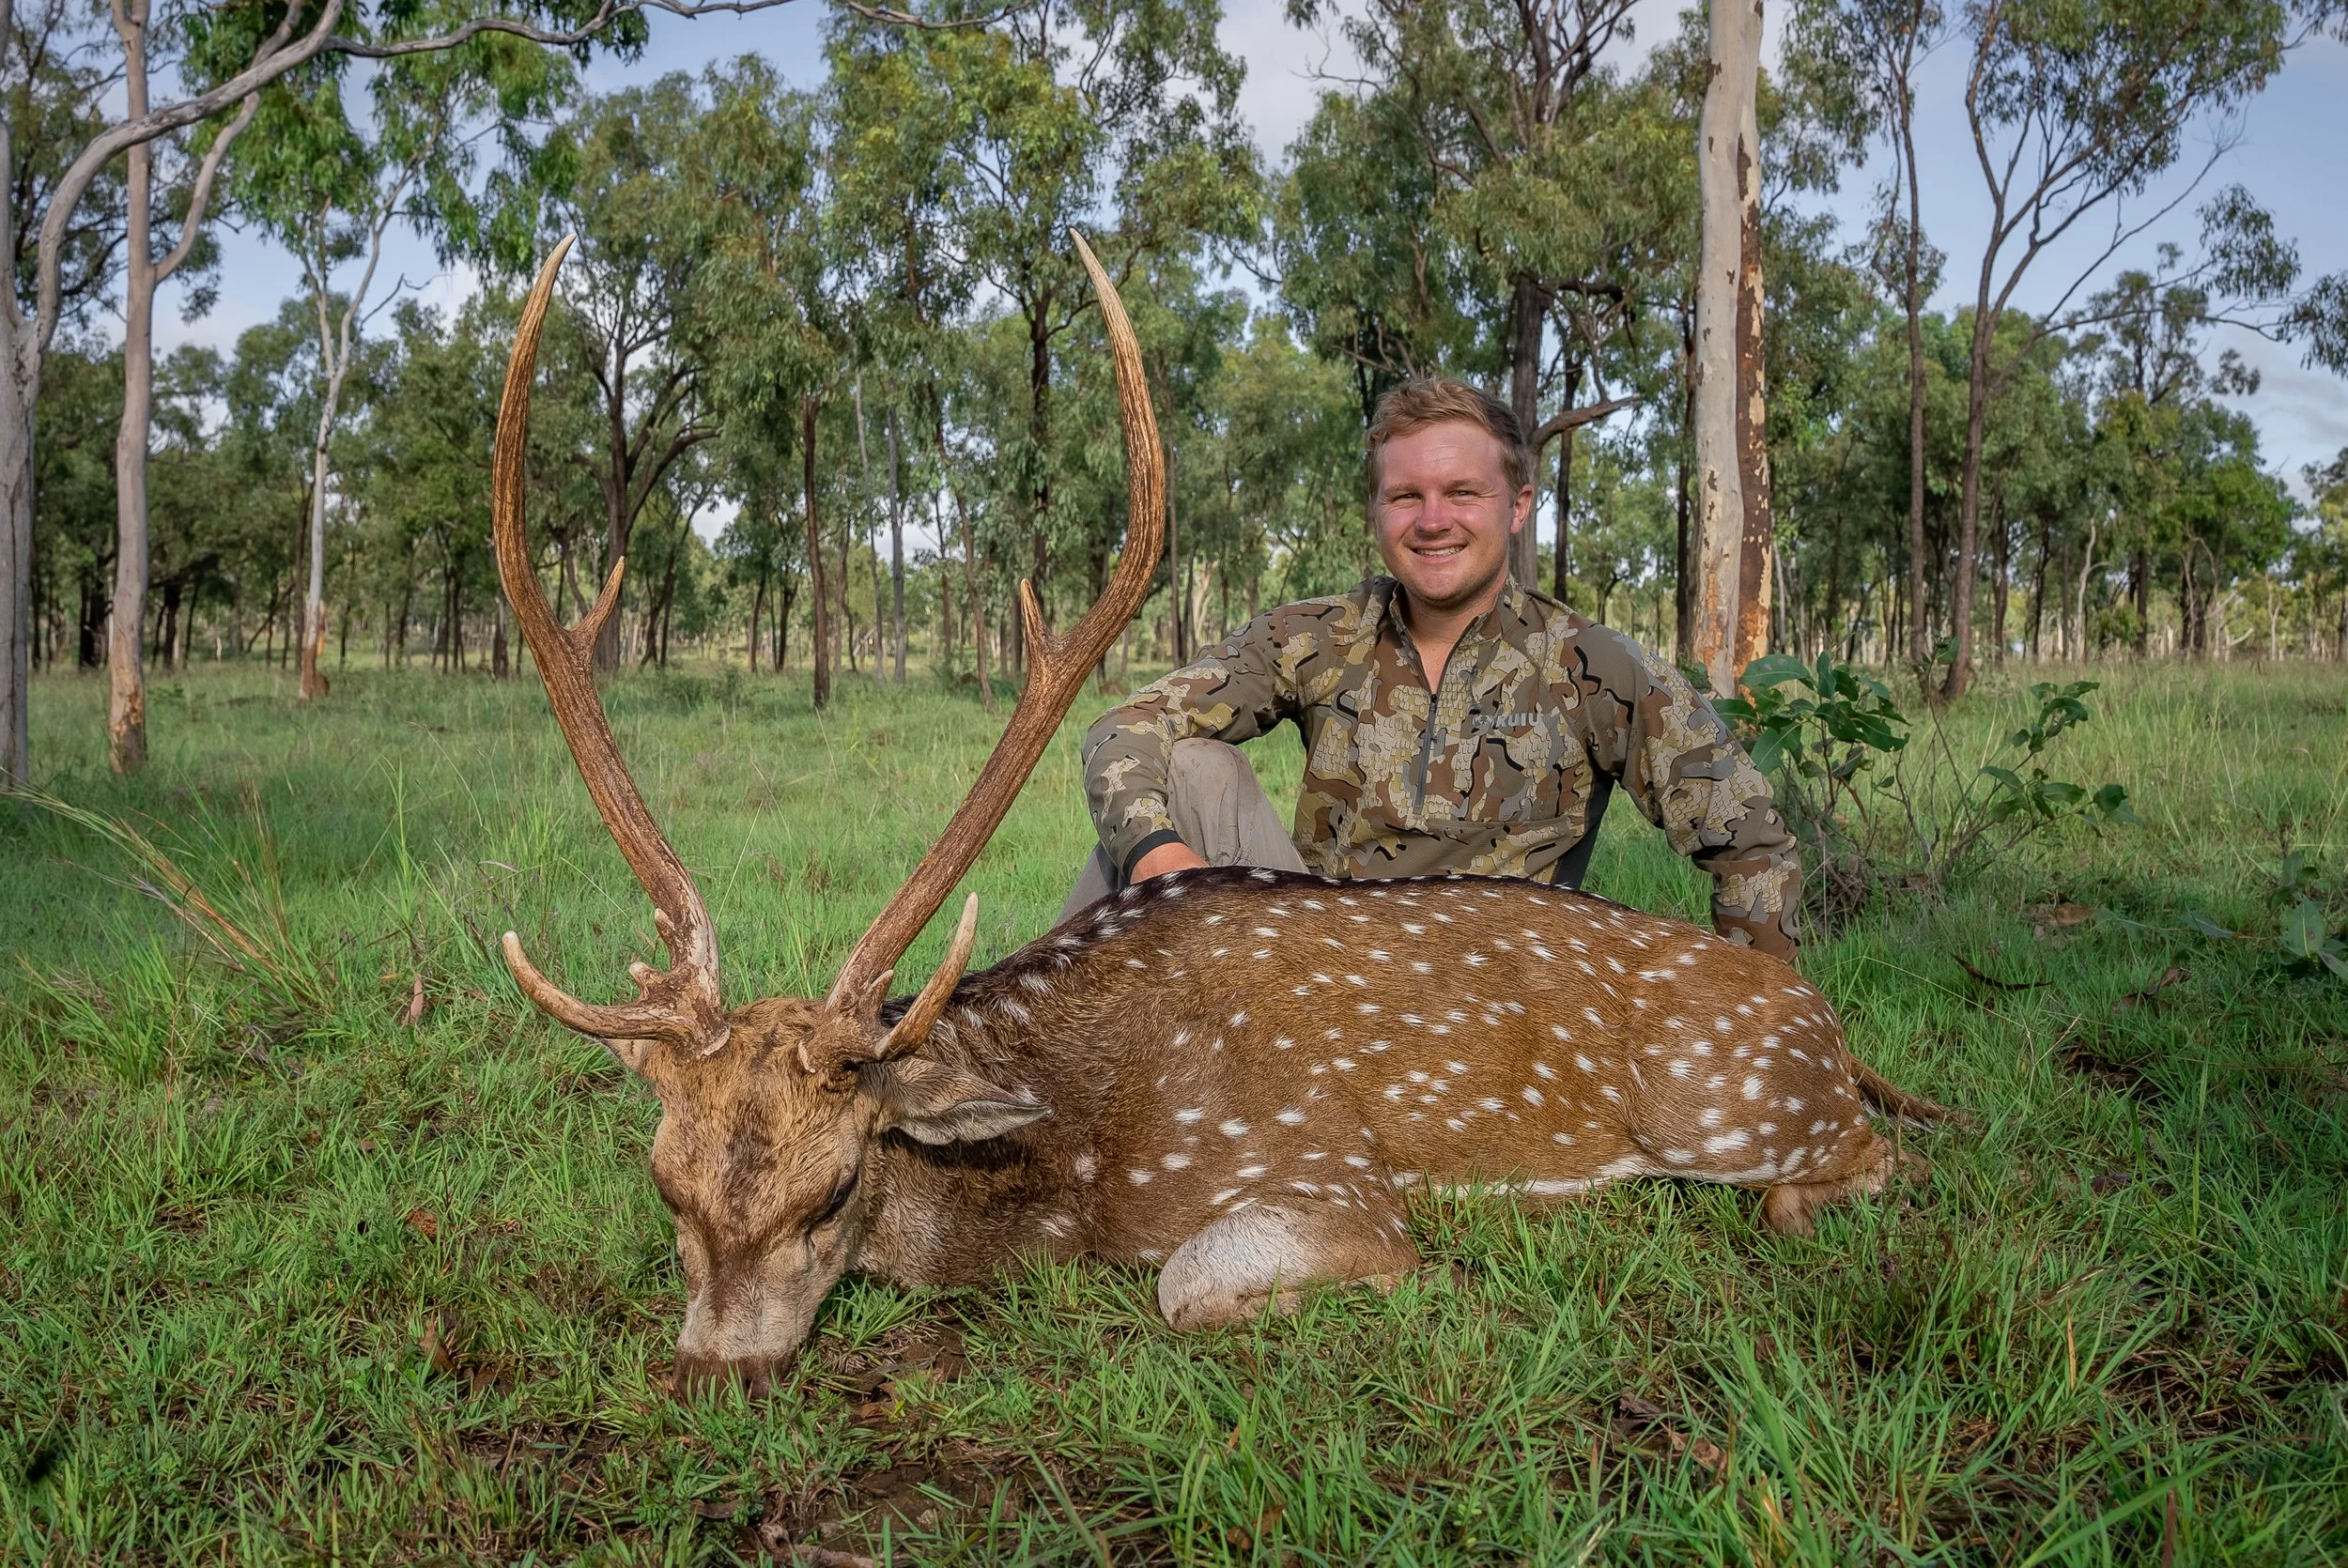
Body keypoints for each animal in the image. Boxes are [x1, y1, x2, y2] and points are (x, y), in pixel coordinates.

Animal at [489, 235, 1948, 1398]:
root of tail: (1819, 1010)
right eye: (667, 1184)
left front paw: (1413, 1279)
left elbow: (1193, 1283)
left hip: (1738, 1105)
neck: (1082, 1163)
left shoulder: (1321, 1172)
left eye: (836, 1186)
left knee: (1862, 1161)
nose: (712, 1370)